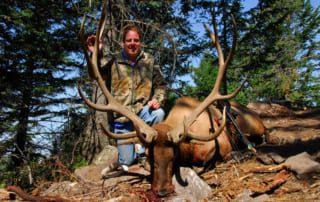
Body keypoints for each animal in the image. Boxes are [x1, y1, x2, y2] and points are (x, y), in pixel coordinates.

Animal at [79, 1, 266, 197]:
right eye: (152, 157)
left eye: (173, 156)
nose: (162, 191)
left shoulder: (219, 147)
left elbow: (207, 162)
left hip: (256, 127)